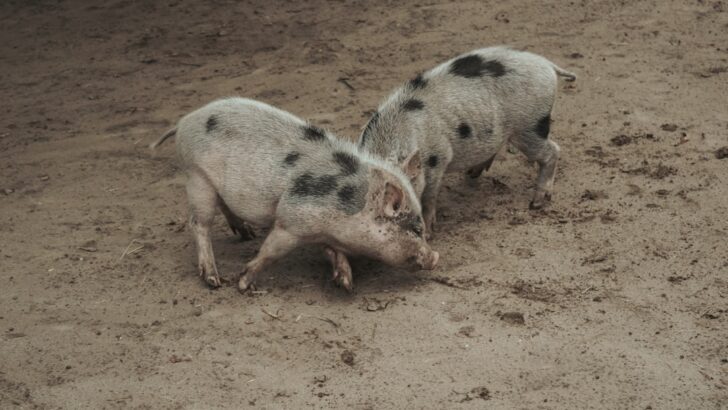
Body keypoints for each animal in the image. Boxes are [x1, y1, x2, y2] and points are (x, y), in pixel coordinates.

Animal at [151, 97, 438, 292]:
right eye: (415, 229)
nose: (436, 257)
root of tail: (184, 121)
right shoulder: (290, 222)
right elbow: (270, 251)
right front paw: (243, 284)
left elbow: (332, 251)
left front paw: (345, 283)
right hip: (196, 176)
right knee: (199, 224)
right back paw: (214, 280)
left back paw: (246, 235)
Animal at [358, 46, 577, 234]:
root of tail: (547, 64)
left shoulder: (438, 157)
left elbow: (429, 196)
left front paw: (429, 231)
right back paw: (472, 173)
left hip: (531, 124)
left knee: (552, 150)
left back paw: (536, 202)